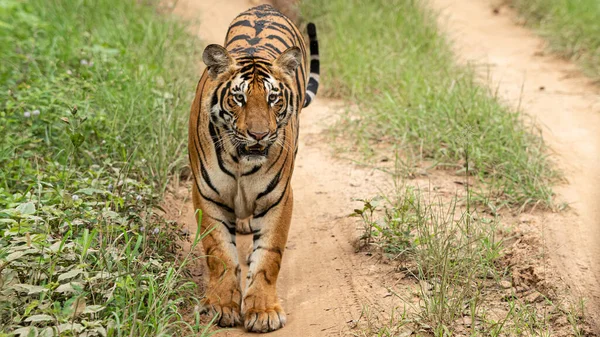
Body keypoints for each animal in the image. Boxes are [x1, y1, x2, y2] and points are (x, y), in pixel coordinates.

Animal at [188, 3, 318, 332]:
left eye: (273, 98)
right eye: (239, 98)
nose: (259, 135)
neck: (240, 161)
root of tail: (266, 6)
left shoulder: (278, 198)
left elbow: (269, 255)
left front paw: (263, 311)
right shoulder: (207, 194)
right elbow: (220, 253)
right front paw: (221, 306)